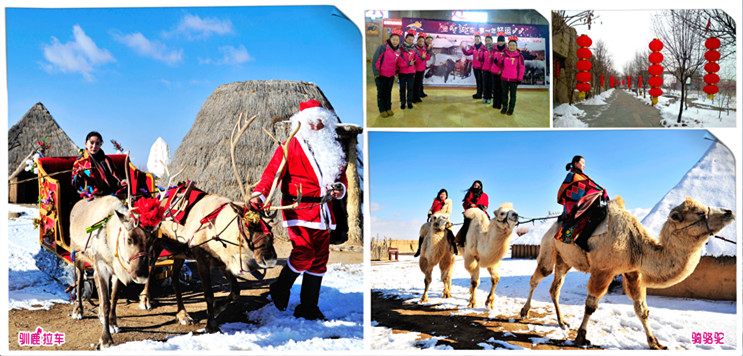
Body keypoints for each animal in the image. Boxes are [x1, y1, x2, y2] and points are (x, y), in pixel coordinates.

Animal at [69, 195, 161, 348]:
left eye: (152, 240)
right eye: (129, 239)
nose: (141, 276)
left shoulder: (116, 271)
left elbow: (114, 298)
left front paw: (112, 323)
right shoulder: (102, 267)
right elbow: (106, 303)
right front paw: (106, 339)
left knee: (94, 279)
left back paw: (99, 314)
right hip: (77, 254)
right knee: (80, 278)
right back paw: (78, 309)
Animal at [520, 197, 736, 350]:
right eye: (699, 212)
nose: (730, 212)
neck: (635, 245)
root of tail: (552, 227)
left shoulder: (633, 272)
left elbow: (642, 309)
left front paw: (655, 343)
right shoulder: (603, 270)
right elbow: (591, 305)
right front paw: (581, 338)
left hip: (565, 260)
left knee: (555, 287)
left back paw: (562, 321)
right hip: (549, 247)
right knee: (538, 276)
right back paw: (524, 312)